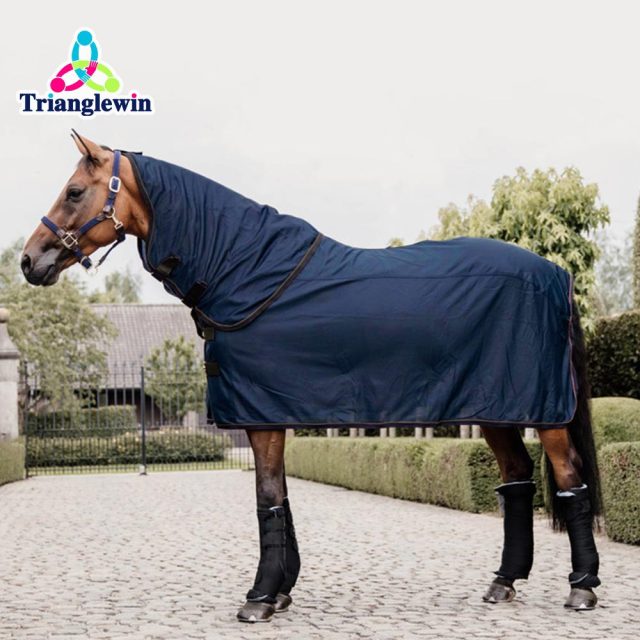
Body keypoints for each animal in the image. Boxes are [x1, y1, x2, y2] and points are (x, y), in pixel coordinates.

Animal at [22, 132, 602, 622]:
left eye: (74, 191)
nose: (30, 261)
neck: (248, 272)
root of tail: (556, 273)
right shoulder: (269, 413)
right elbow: (281, 500)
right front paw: (281, 590)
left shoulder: (261, 417)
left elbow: (267, 499)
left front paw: (259, 597)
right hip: (496, 405)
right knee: (517, 478)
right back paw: (503, 581)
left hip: (543, 411)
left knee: (569, 478)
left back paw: (582, 588)